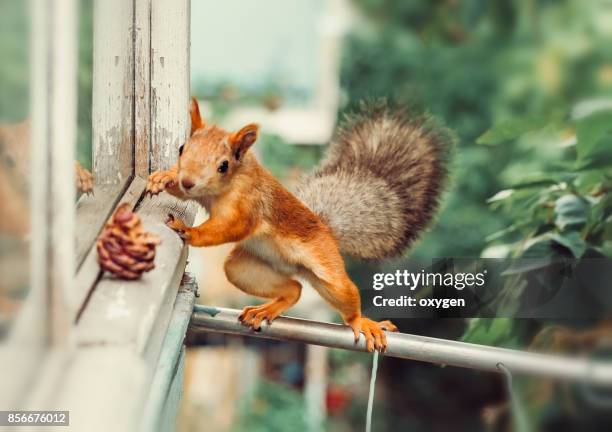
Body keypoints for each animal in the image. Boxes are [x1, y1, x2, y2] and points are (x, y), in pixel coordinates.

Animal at [146, 98, 452, 352]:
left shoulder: (248, 206)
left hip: (327, 270)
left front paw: (188, 230)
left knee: (343, 297)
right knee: (294, 288)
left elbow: (229, 227)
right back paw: (266, 310)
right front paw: (163, 178)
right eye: (182, 149)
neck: (226, 185)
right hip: (244, 269)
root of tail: (326, 229)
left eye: (223, 165)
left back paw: (362, 322)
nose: (188, 181)